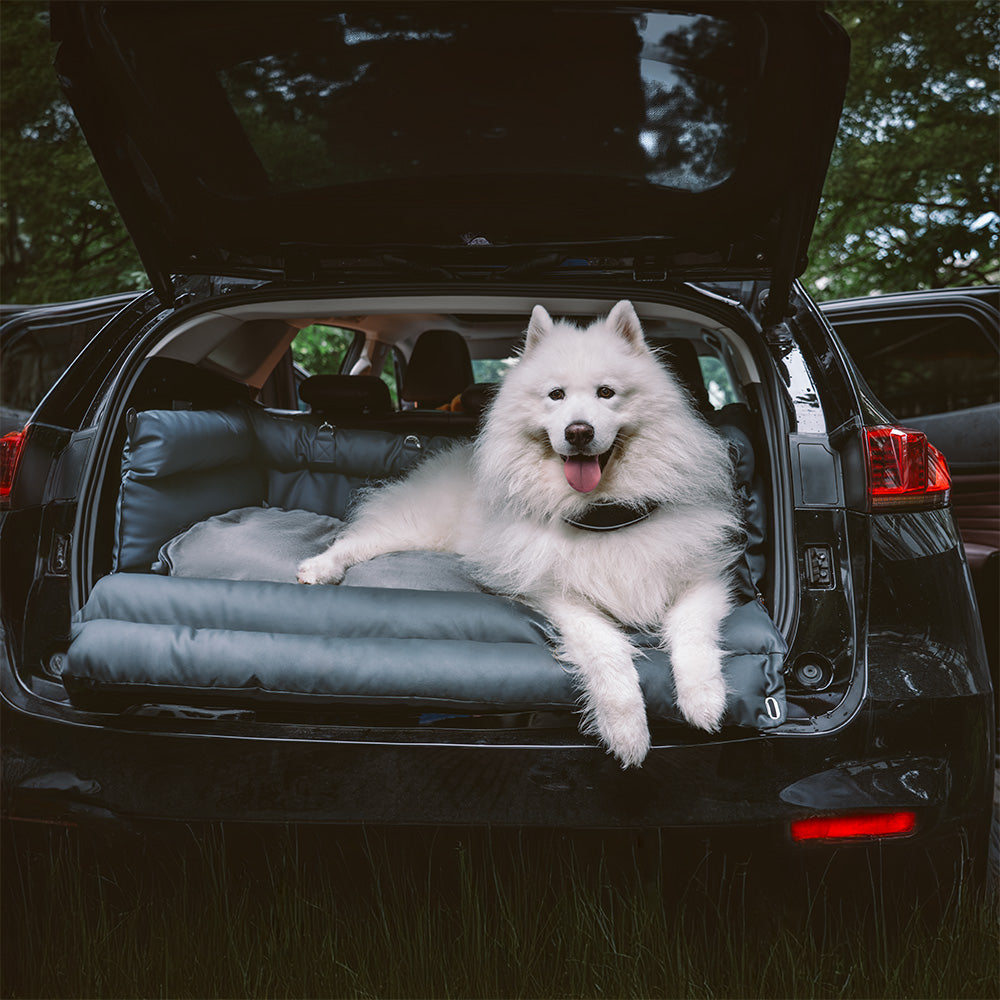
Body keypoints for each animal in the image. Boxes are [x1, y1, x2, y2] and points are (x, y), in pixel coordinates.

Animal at [296, 296, 744, 764]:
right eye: (556, 395)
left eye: (606, 393)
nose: (578, 431)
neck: (601, 514)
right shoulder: (559, 596)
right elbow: (607, 649)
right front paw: (627, 732)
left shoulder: (703, 579)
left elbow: (692, 635)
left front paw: (704, 701)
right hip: (410, 527)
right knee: (354, 540)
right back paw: (318, 568)